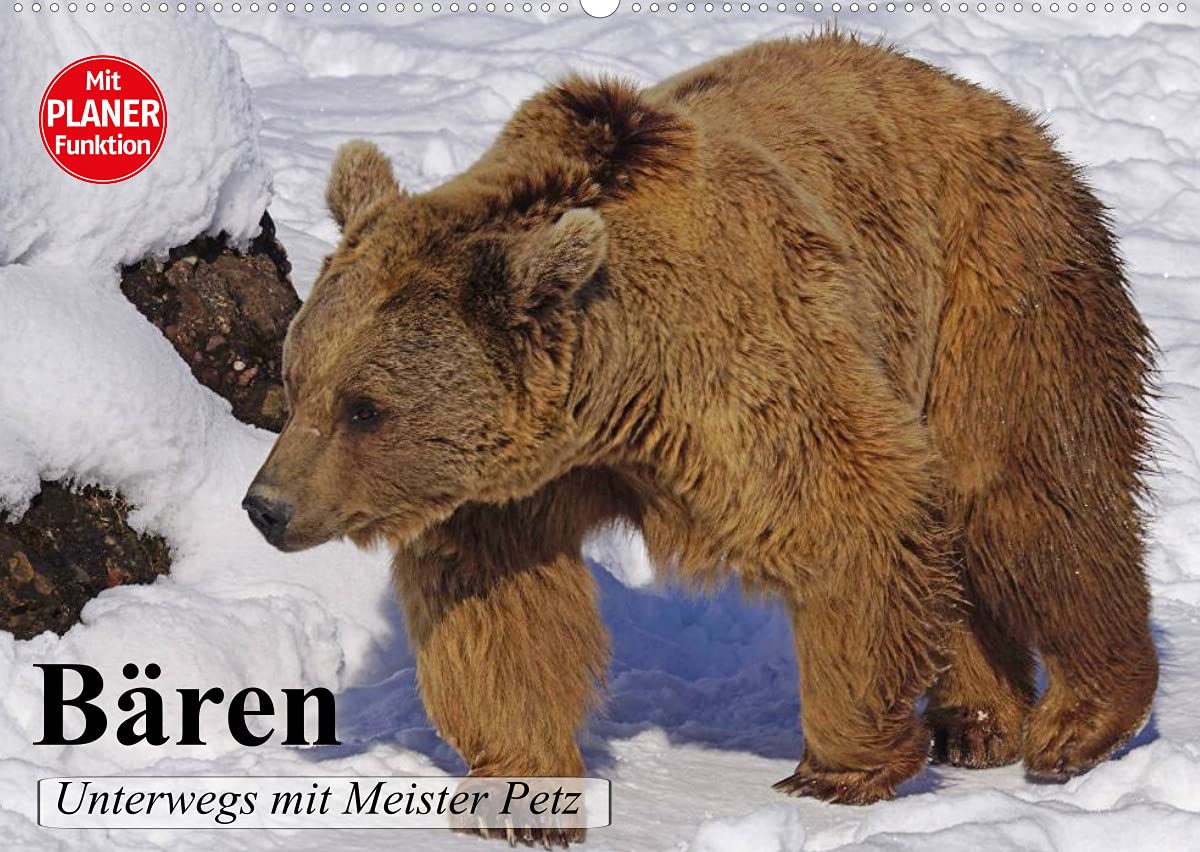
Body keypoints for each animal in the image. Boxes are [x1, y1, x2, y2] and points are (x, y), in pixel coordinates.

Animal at [243, 32, 1158, 842]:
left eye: (365, 407)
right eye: (298, 379)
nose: (267, 506)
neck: (610, 392)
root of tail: (988, 104)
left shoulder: (741, 369)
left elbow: (853, 512)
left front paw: (837, 767)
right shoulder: (512, 482)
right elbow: (499, 608)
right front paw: (519, 796)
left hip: (990, 285)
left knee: (1028, 496)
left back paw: (1080, 720)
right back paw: (976, 720)